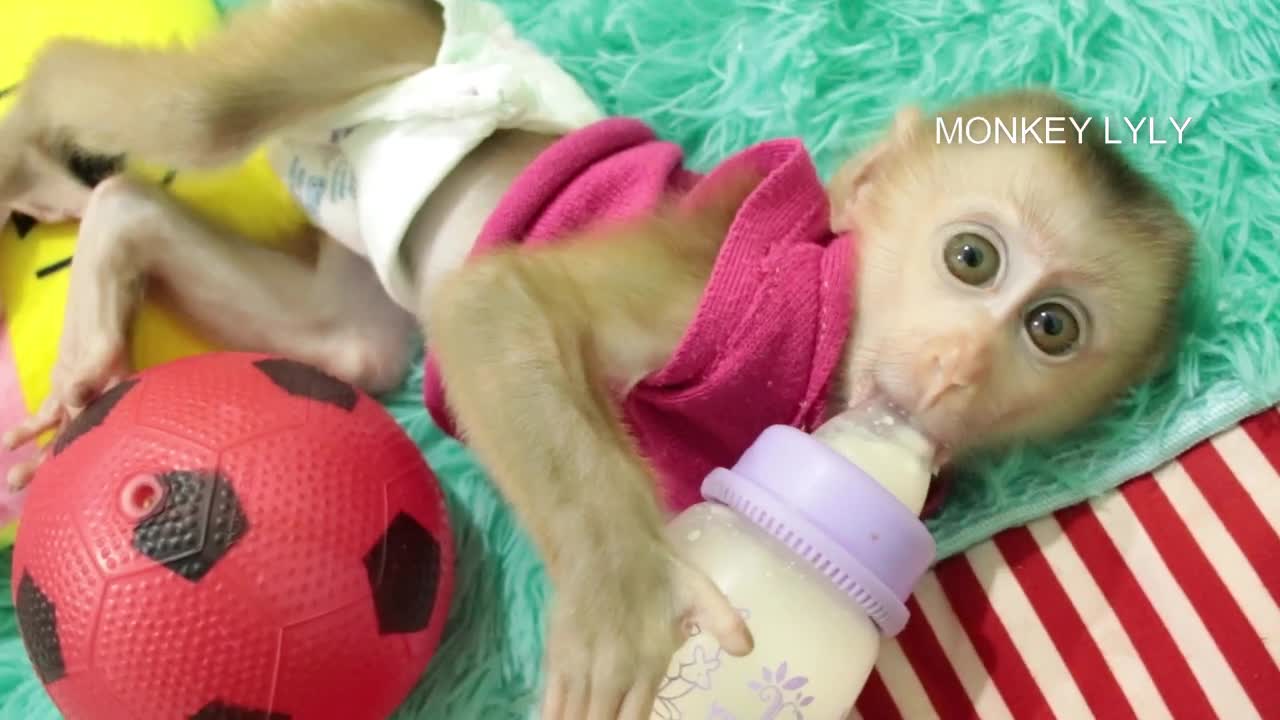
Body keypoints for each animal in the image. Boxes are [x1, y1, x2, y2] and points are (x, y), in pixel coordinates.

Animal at [0, 2, 1187, 712]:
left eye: (1050, 329)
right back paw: (33, 135)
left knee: (344, 336)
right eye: (970, 259)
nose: (954, 371)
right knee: (194, 112)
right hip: (370, 31)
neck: (824, 350)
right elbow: (498, 301)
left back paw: (106, 233)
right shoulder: (734, 285)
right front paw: (627, 597)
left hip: (355, 264)